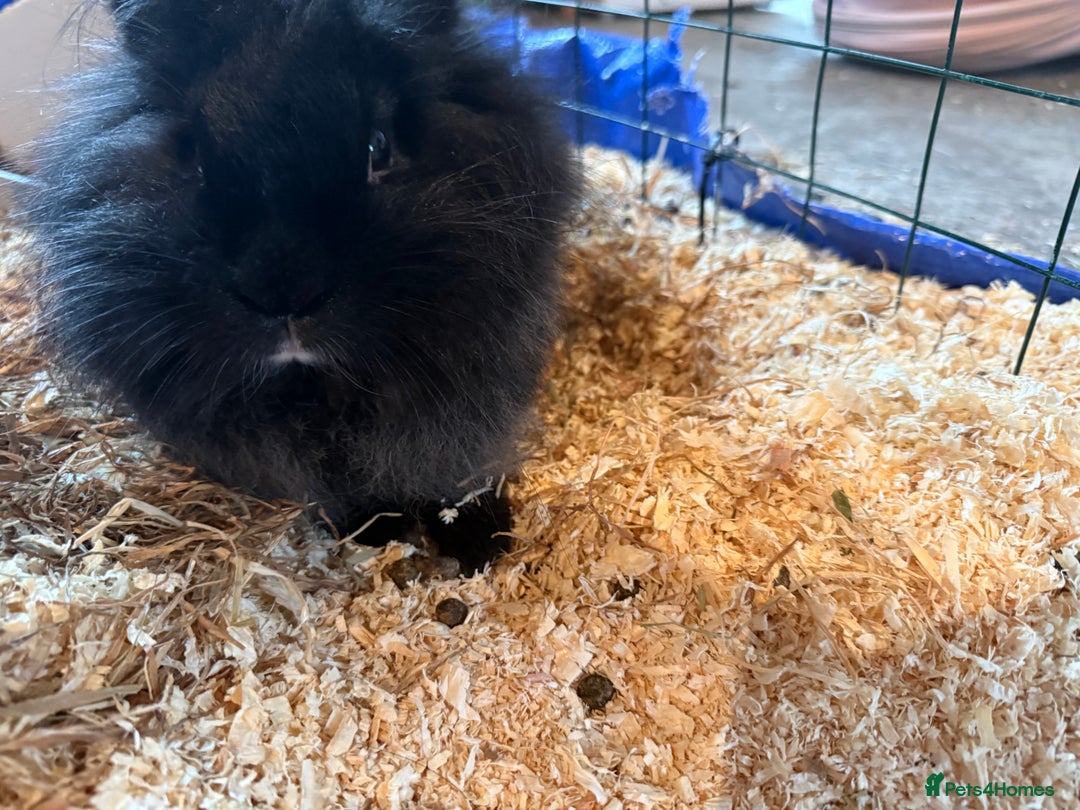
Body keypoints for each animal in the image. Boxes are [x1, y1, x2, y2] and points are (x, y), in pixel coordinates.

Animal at [18, 0, 580, 573]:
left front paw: (484, 543)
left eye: (379, 147)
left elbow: (461, 473)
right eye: (191, 152)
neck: (316, 386)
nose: (284, 293)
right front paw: (378, 531)